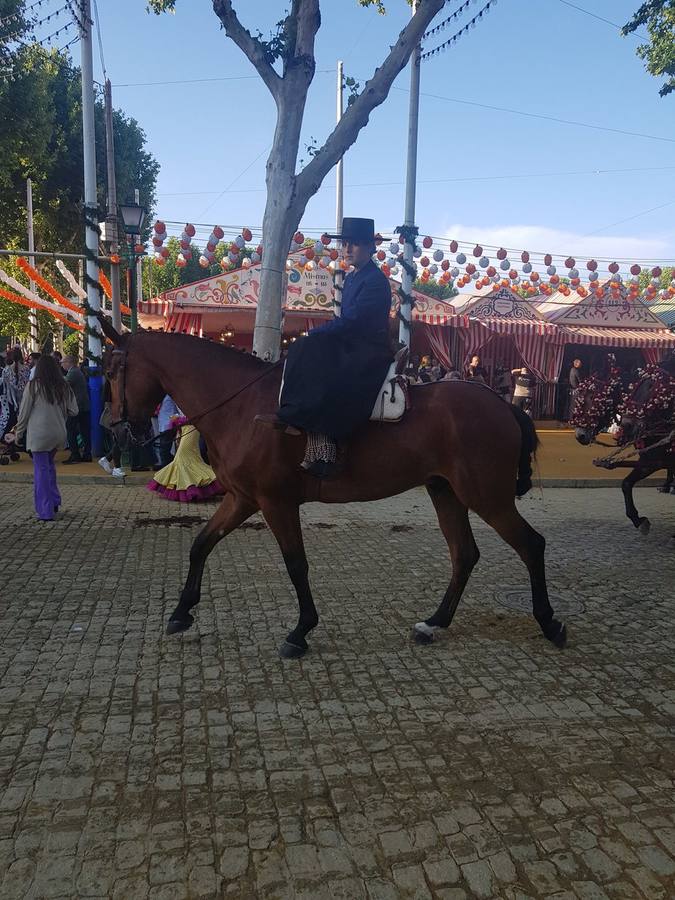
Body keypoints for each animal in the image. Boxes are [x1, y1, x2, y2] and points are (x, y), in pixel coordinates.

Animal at [100, 320, 564, 656]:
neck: (242, 407)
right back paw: (434, 623)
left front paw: (300, 631)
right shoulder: (243, 499)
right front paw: (181, 612)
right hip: (446, 492)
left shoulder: (275, 502)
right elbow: (201, 545)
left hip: (486, 497)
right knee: (464, 554)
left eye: (112, 370)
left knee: (532, 545)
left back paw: (549, 621)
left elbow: (296, 565)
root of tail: (502, 404)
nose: (115, 430)